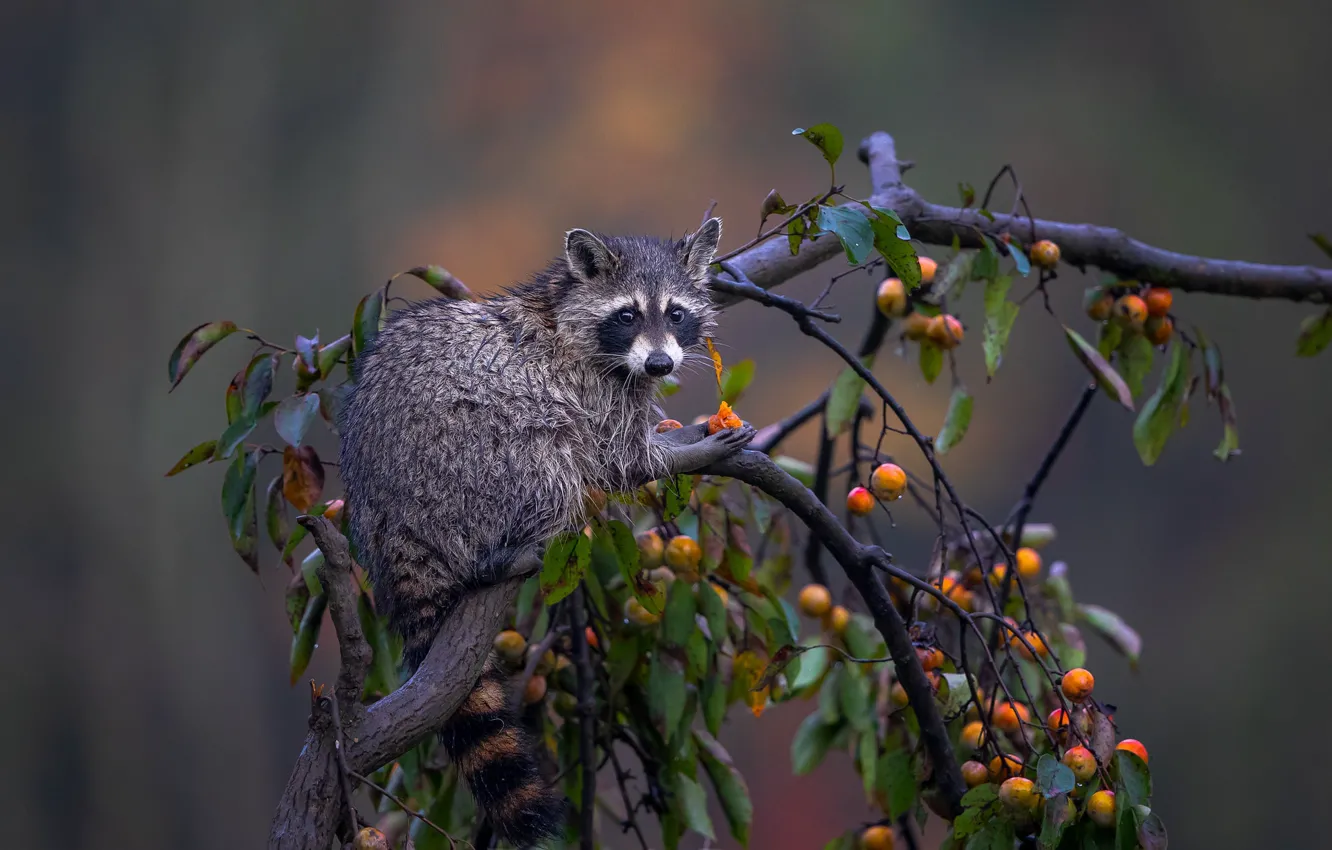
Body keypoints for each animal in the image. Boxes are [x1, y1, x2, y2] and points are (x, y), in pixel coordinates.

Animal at [338, 217, 754, 847]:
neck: (562, 307)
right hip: (475, 459)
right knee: (552, 458)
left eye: (676, 313)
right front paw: (689, 449)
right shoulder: (588, 387)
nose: (660, 365)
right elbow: (619, 461)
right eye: (628, 314)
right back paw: (502, 553)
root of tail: (394, 526)